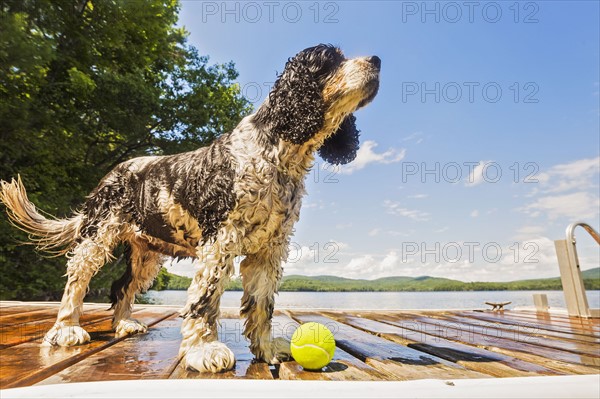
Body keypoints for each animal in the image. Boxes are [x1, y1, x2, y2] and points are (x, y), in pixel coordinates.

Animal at [1, 45, 380, 374]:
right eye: (330, 59)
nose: (376, 60)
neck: (275, 153)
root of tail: (109, 176)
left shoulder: (269, 250)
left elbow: (262, 306)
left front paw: (267, 349)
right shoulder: (219, 242)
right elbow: (204, 301)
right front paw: (204, 351)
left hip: (145, 255)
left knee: (122, 288)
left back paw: (124, 324)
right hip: (98, 237)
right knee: (76, 282)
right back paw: (66, 329)